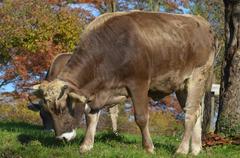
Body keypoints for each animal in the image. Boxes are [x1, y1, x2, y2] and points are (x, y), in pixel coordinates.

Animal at [35, 11, 216, 156]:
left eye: (62, 109)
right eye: (46, 111)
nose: (62, 138)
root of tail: (201, 22)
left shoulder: (139, 83)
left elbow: (141, 118)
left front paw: (149, 147)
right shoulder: (97, 93)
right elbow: (91, 118)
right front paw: (86, 145)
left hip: (197, 76)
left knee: (191, 113)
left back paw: (182, 149)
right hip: (181, 85)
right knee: (198, 111)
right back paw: (195, 149)